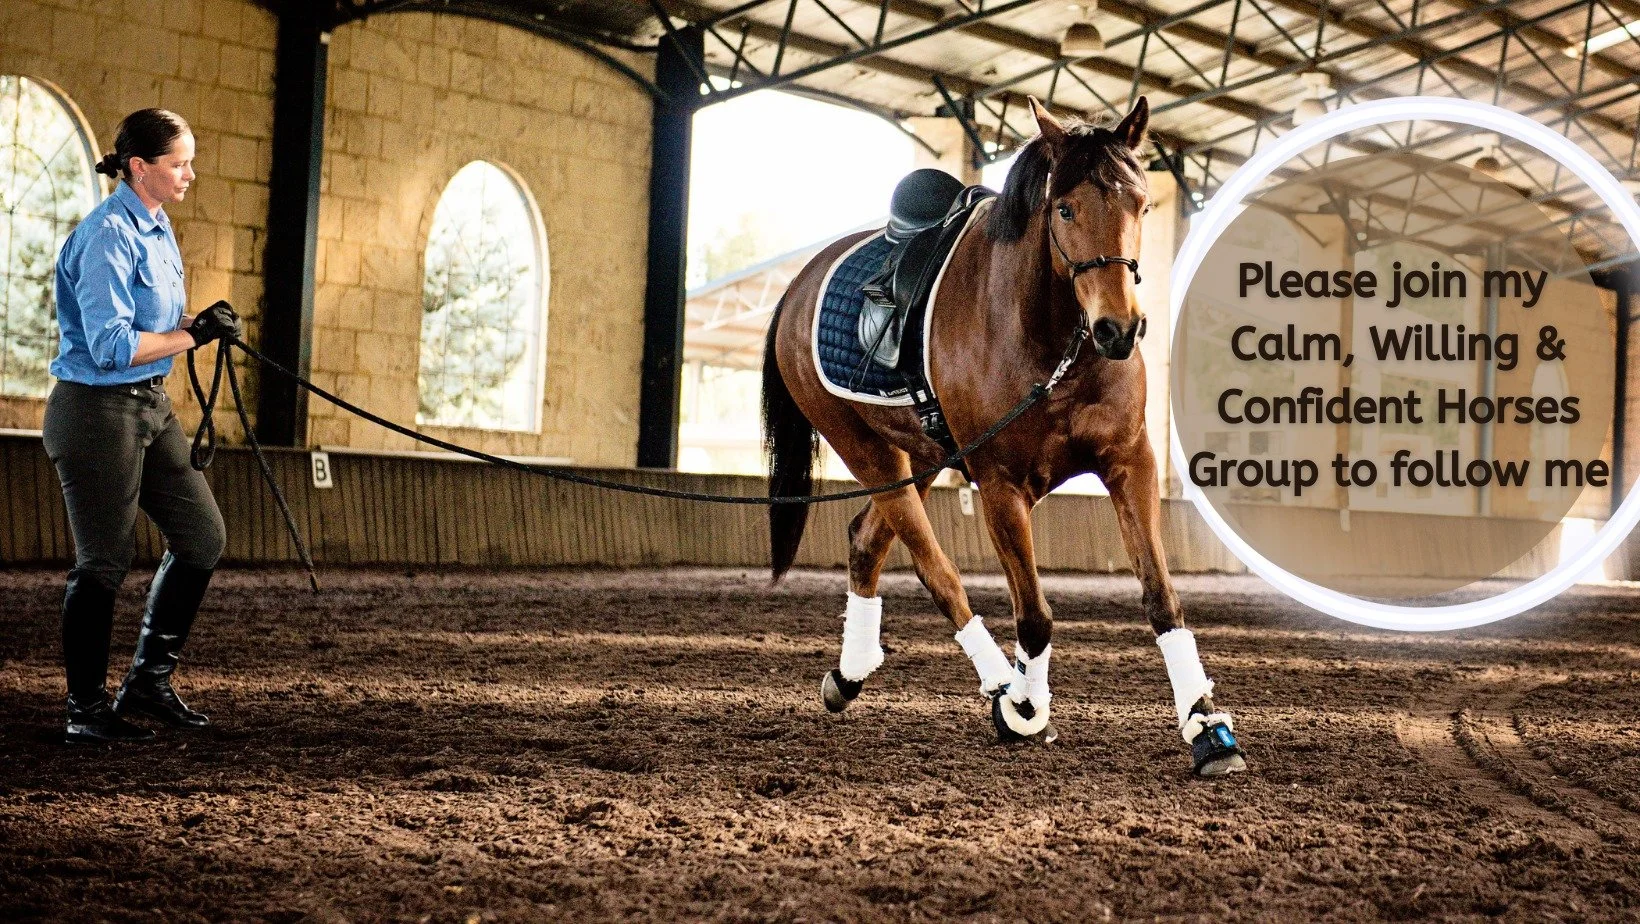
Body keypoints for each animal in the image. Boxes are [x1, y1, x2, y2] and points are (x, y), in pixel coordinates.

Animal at [759, 97, 1246, 777]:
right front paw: (1026, 705)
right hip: (868, 451)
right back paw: (997, 686)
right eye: (1064, 208)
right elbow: (1035, 616)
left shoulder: (1130, 464)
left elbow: (1161, 598)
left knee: (865, 540)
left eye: (1143, 205)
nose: (1119, 329)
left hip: (922, 455)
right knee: (936, 570)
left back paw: (851, 673)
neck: (1052, 340)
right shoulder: (1000, 486)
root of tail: (798, 287)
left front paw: (1207, 728)